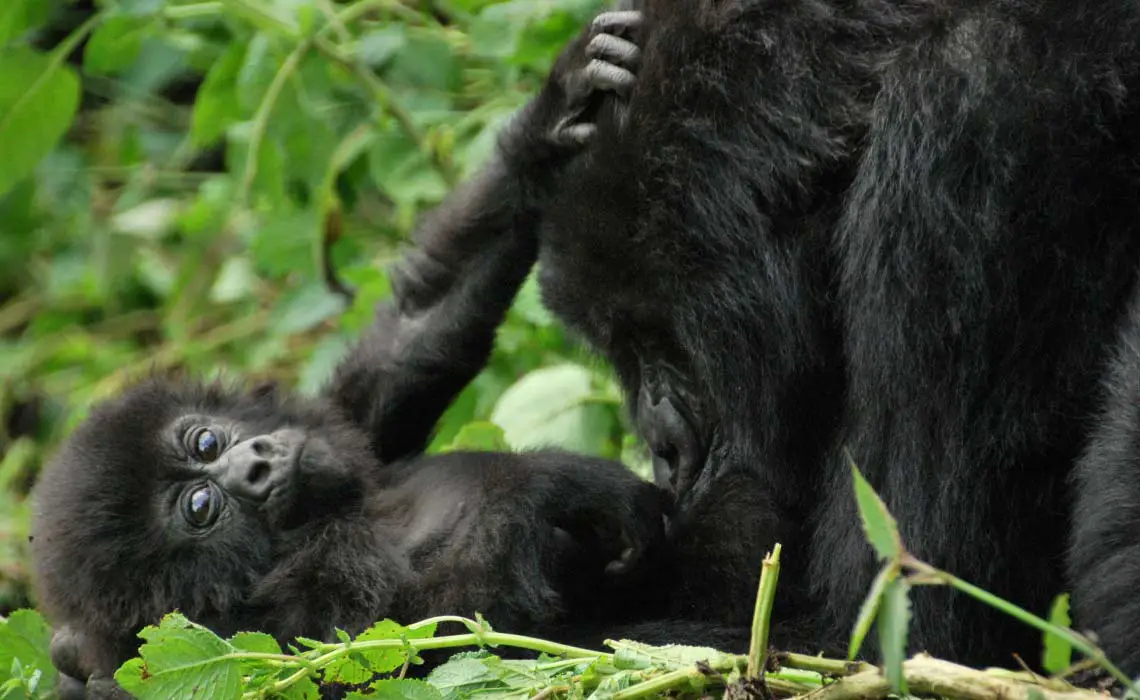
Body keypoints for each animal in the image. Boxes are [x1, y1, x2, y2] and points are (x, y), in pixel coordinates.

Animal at [33, 9, 652, 697]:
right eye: (199, 507)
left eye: (206, 442)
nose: (256, 461)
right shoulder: (276, 630)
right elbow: (416, 635)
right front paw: (551, 482)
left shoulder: (348, 425)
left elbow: (417, 326)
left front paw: (552, 119)